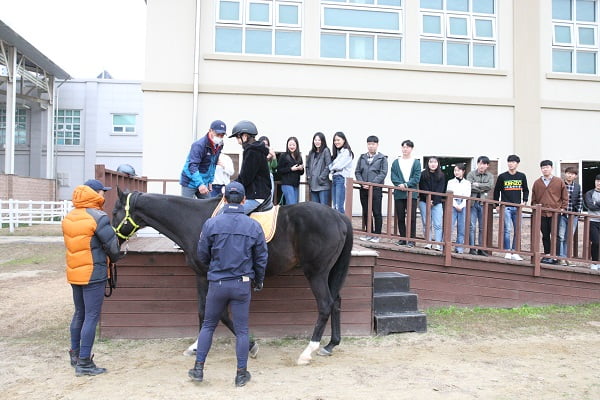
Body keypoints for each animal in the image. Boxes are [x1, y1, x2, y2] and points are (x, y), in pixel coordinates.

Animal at [112, 189, 354, 364]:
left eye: (114, 212)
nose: (113, 243)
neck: (194, 220)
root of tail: (338, 216)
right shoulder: (202, 276)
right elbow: (204, 312)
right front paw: (197, 346)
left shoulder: (213, 277)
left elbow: (217, 313)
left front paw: (250, 345)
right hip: (329, 273)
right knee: (336, 302)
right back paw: (330, 345)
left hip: (316, 273)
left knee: (325, 304)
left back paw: (307, 352)